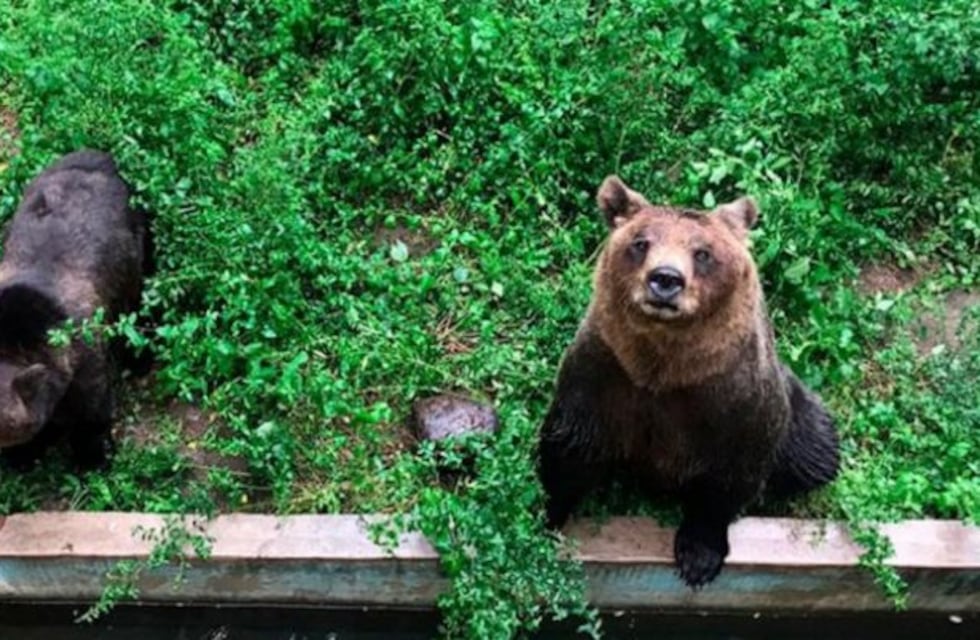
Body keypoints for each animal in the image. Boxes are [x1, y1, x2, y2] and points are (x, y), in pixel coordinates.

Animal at [537, 175, 839, 588]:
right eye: (640, 242)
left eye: (703, 253)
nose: (665, 279)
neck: (666, 368)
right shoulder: (603, 372)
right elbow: (571, 446)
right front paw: (544, 514)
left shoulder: (735, 398)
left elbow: (728, 479)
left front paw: (699, 558)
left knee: (816, 453)